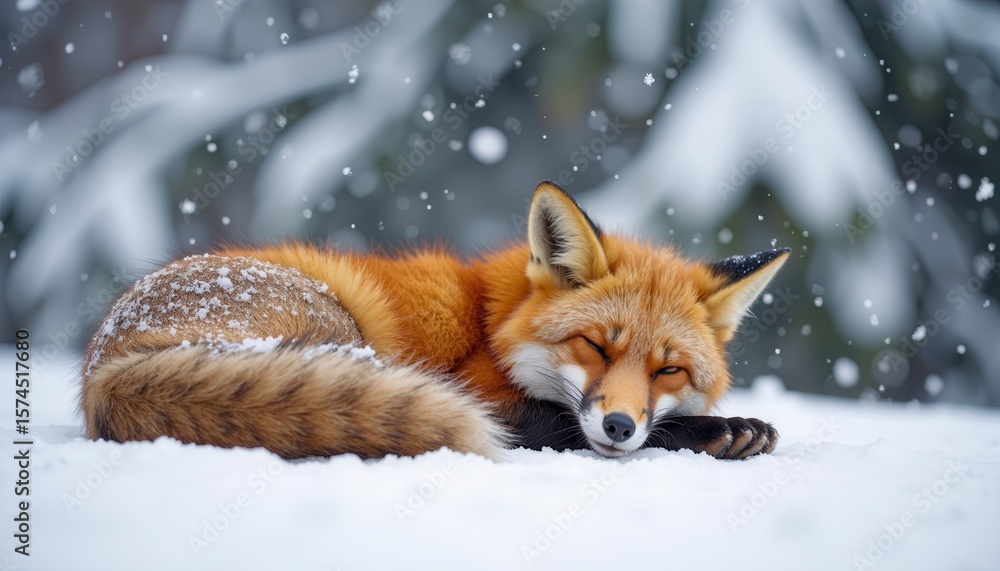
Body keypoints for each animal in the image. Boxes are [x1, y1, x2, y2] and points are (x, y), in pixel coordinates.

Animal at [82, 181, 790, 461]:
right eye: (593, 345)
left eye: (668, 370)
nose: (619, 425)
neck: (492, 321)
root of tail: (100, 371)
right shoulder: (479, 390)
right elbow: (560, 424)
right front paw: (717, 430)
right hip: (344, 321)